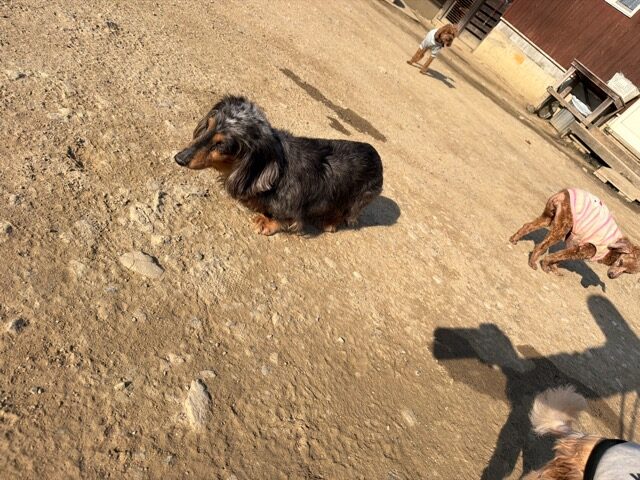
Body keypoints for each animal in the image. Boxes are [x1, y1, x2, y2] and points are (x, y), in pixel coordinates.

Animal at [174, 96, 383, 235]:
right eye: (208, 125)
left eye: (221, 145)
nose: (179, 158)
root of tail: (377, 157)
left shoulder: (293, 207)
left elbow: (283, 219)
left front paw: (266, 222)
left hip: (354, 201)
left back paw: (329, 223)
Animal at [509, 188, 640, 279]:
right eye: (620, 262)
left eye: (627, 272)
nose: (611, 276)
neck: (613, 250)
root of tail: (563, 194)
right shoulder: (583, 250)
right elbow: (556, 256)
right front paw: (546, 265)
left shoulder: (574, 245)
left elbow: (559, 258)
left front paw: (554, 269)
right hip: (562, 227)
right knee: (540, 246)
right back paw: (532, 262)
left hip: (548, 217)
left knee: (528, 225)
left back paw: (514, 239)